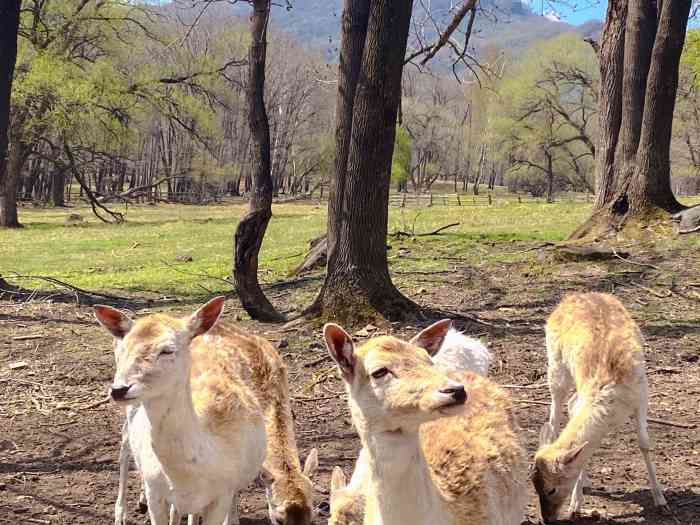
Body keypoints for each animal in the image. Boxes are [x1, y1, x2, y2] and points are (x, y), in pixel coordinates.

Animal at [532, 292, 668, 520]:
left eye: (551, 489)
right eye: (534, 486)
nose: (547, 519)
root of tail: (570, 296)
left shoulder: (642, 396)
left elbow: (644, 443)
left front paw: (661, 501)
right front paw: (575, 506)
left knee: (569, 404)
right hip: (556, 366)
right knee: (556, 415)